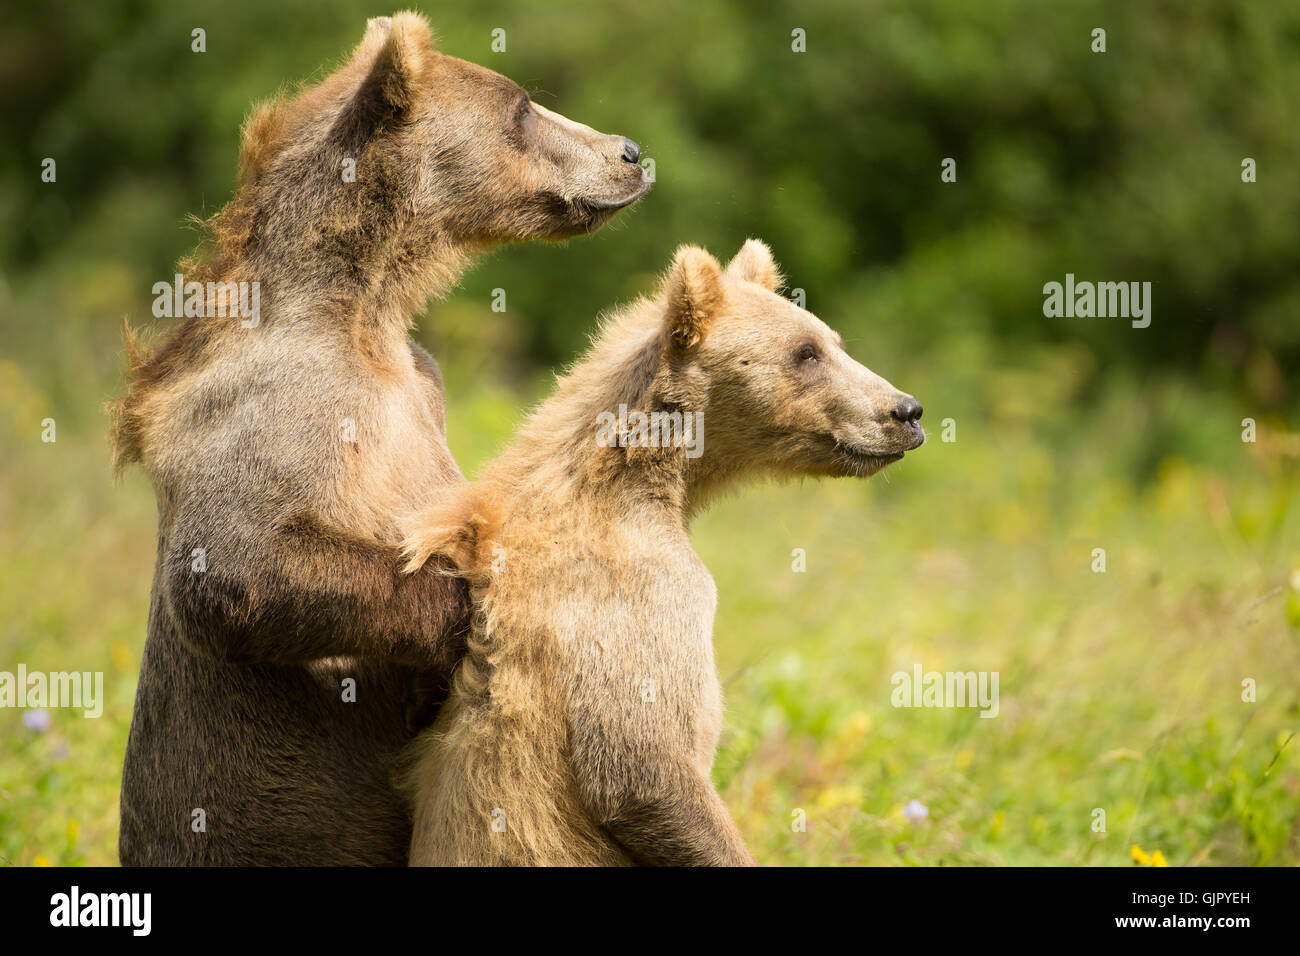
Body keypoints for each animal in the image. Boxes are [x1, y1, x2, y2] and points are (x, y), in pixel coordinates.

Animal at [107, 13, 650, 868]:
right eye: (523, 105)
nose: (629, 152)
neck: (366, 303)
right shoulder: (285, 406)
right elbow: (236, 564)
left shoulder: (422, 389)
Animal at [400, 240, 920, 868]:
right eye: (806, 353)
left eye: (832, 341)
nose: (906, 411)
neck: (646, 479)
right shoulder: (641, 586)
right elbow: (644, 766)